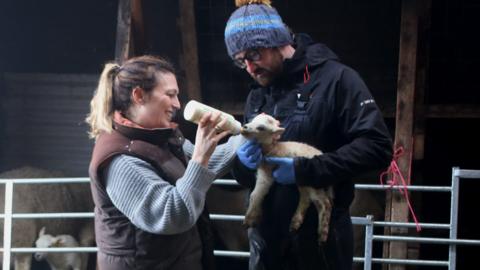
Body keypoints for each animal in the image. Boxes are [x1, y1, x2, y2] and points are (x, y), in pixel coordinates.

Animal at [240, 113, 334, 244]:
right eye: (252, 120)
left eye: (261, 128)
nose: (244, 127)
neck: (272, 149)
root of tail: (320, 153)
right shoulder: (261, 173)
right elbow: (255, 194)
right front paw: (254, 216)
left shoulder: (267, 174)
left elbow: (256, 194)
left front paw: (249, 219)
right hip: (302, 181)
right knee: (307, 199)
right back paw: (295, 223)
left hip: (314, 181)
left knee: (324, 203)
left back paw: (322, 235)